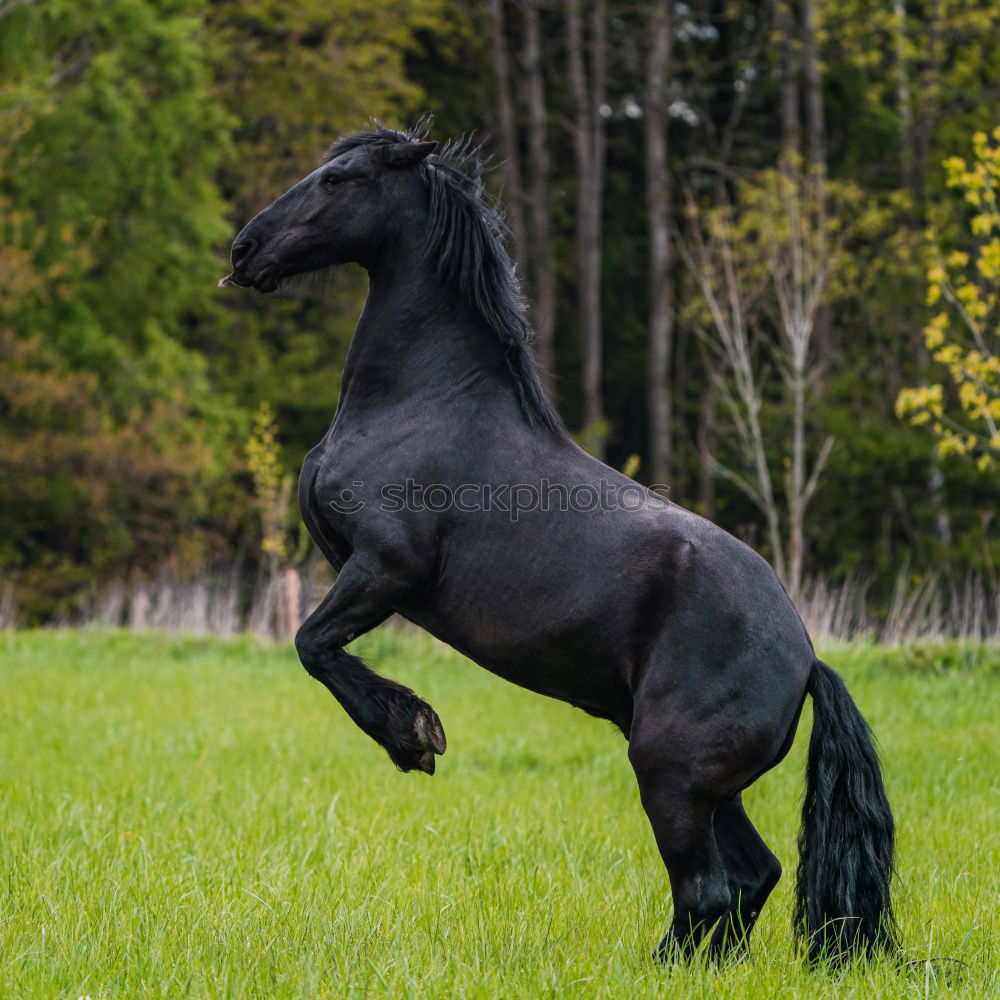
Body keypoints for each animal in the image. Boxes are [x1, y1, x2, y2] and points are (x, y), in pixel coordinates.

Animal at [221, 121, 900, 964]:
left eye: (339, 179)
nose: (244, 250)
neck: (420, 405)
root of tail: (806, 659)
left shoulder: (384, 568)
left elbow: (312, 644)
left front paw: (413, 735)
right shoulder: (356, 568)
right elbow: (315, 644)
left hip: (670, 773)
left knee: (707, 891)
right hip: (708, 787)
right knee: (750, 880)